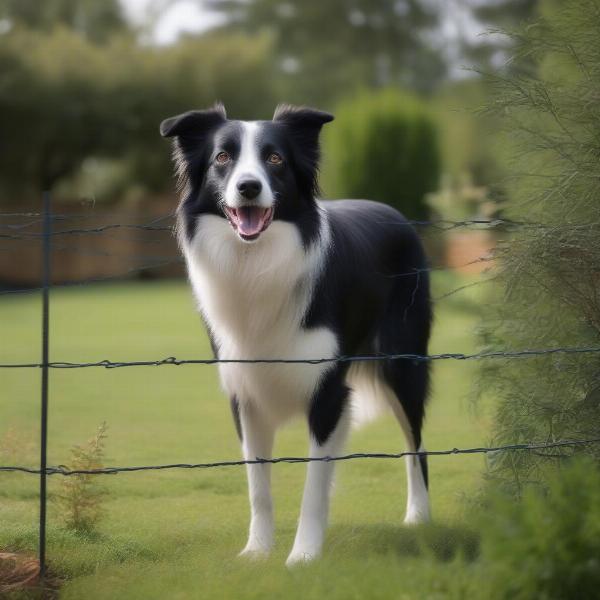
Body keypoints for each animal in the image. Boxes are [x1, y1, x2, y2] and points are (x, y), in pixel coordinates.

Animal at [159, 104, 432, 568]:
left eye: (275, 159)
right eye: (222, 158)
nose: (248, 188)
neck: (257, 262)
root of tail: (394, 213)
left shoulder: (328, 392)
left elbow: (313, 484)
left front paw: (303, 555)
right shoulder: (245, 393)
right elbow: (258, 485)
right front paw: (257, 551)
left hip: (402, 364)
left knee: (417, 446)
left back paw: (419, 517)